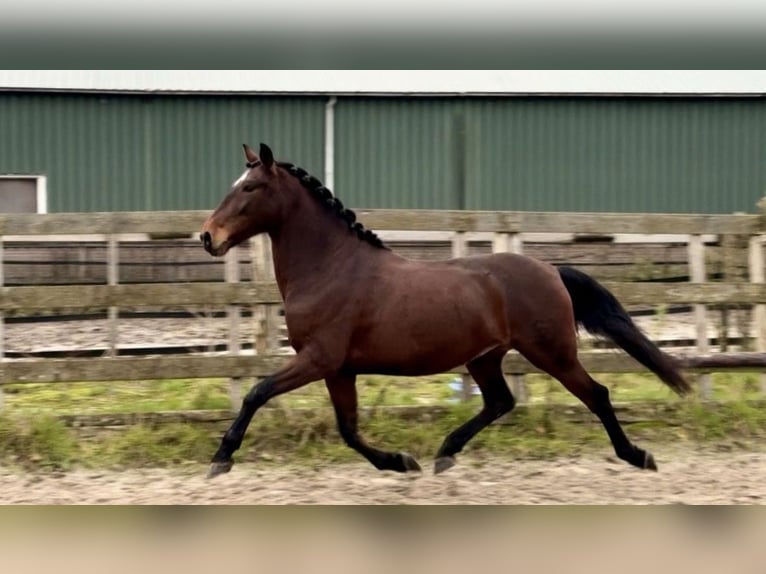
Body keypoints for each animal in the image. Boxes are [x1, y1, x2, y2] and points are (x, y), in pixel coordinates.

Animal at [200, 144, 688, 482]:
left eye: (250, 187)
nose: (208, 237)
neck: (332, 268)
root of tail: (550, 269)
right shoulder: (339, 369)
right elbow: (348, 429)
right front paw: (400, 462)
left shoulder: (319, 358)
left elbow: (257, 393)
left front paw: (221, 459)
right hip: (486, 358)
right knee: (500, 401)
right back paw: (445, 453)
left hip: (552, 353)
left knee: (596, 394)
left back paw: (638, 456)